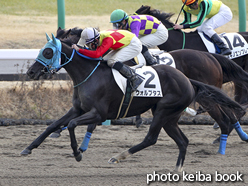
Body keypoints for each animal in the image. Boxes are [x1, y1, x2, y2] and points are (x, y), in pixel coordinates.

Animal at [20, 32, 247, 171]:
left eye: (48, 51)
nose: (31, 72)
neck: (89, 74)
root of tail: (188, 80)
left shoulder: (98, 113)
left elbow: (72, 125)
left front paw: (77, 153)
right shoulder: (78, 109)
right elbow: (53, 125)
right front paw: (28, 148)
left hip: (164, 111)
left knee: (152, 138)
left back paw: (119, 156)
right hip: (170, 116)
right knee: (183, 141)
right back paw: (177, 169)